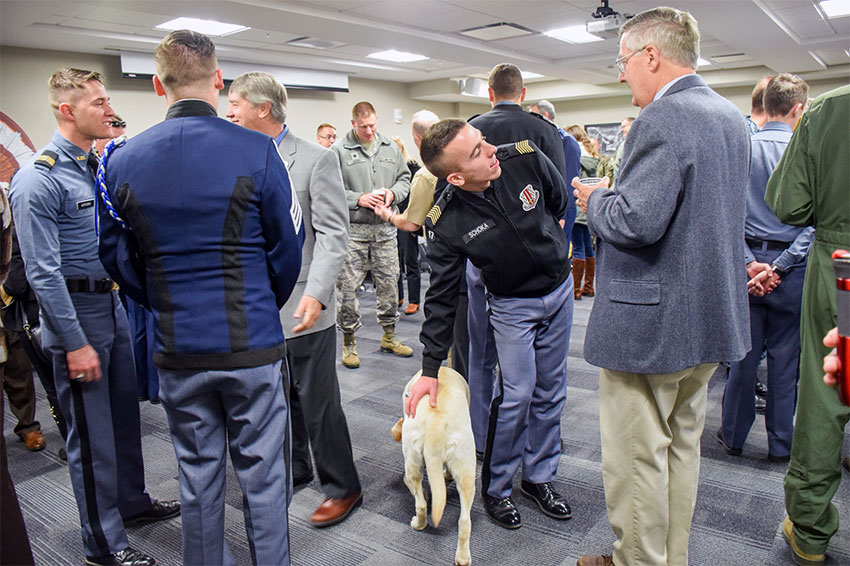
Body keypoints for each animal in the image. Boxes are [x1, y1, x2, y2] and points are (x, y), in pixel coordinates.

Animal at [390, 366, 476, 564]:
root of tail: (437, 423)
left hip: (412, 461)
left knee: (420, 502)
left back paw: (418, 523)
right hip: (466, 470)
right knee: (465, 521)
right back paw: (463, 558)